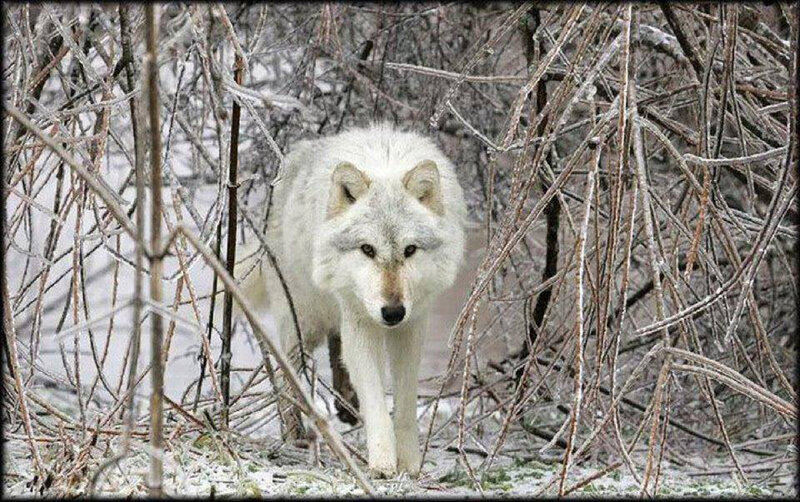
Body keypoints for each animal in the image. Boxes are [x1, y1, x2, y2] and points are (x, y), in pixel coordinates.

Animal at [238, 123, 467, 477]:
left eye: (410, 250)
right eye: (367, 249)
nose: (392, 312)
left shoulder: (413, 325)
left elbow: (404, 402)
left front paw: (410, 463)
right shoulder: (359, 321)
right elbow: (375, 398)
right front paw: (382, 464)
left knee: (336, 348)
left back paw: (345, 403)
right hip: (303, 322)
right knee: (289, 370)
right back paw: (295, 435)